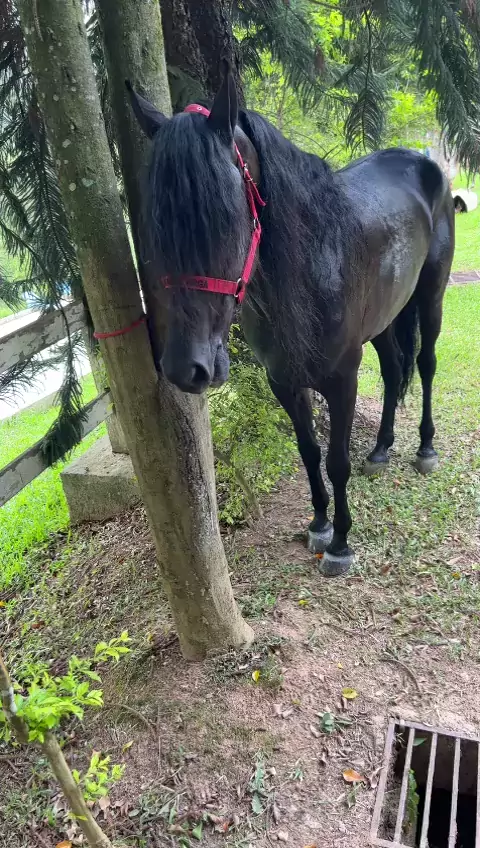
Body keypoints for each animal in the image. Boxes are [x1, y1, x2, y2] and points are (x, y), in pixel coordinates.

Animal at [127, 67, 454, 577]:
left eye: (223, 217)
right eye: (155, 224)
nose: (186, 368)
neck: (314, 266)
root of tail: (421, 160)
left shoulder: (342, 380)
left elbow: (336, 461)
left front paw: (340, 543)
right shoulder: (283, 380)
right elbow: (309, 452)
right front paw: (319, 524)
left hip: (430, 298)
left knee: (425, 365)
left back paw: (425, 449)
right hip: (385, 320)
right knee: (393, 370)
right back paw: (381, 450)